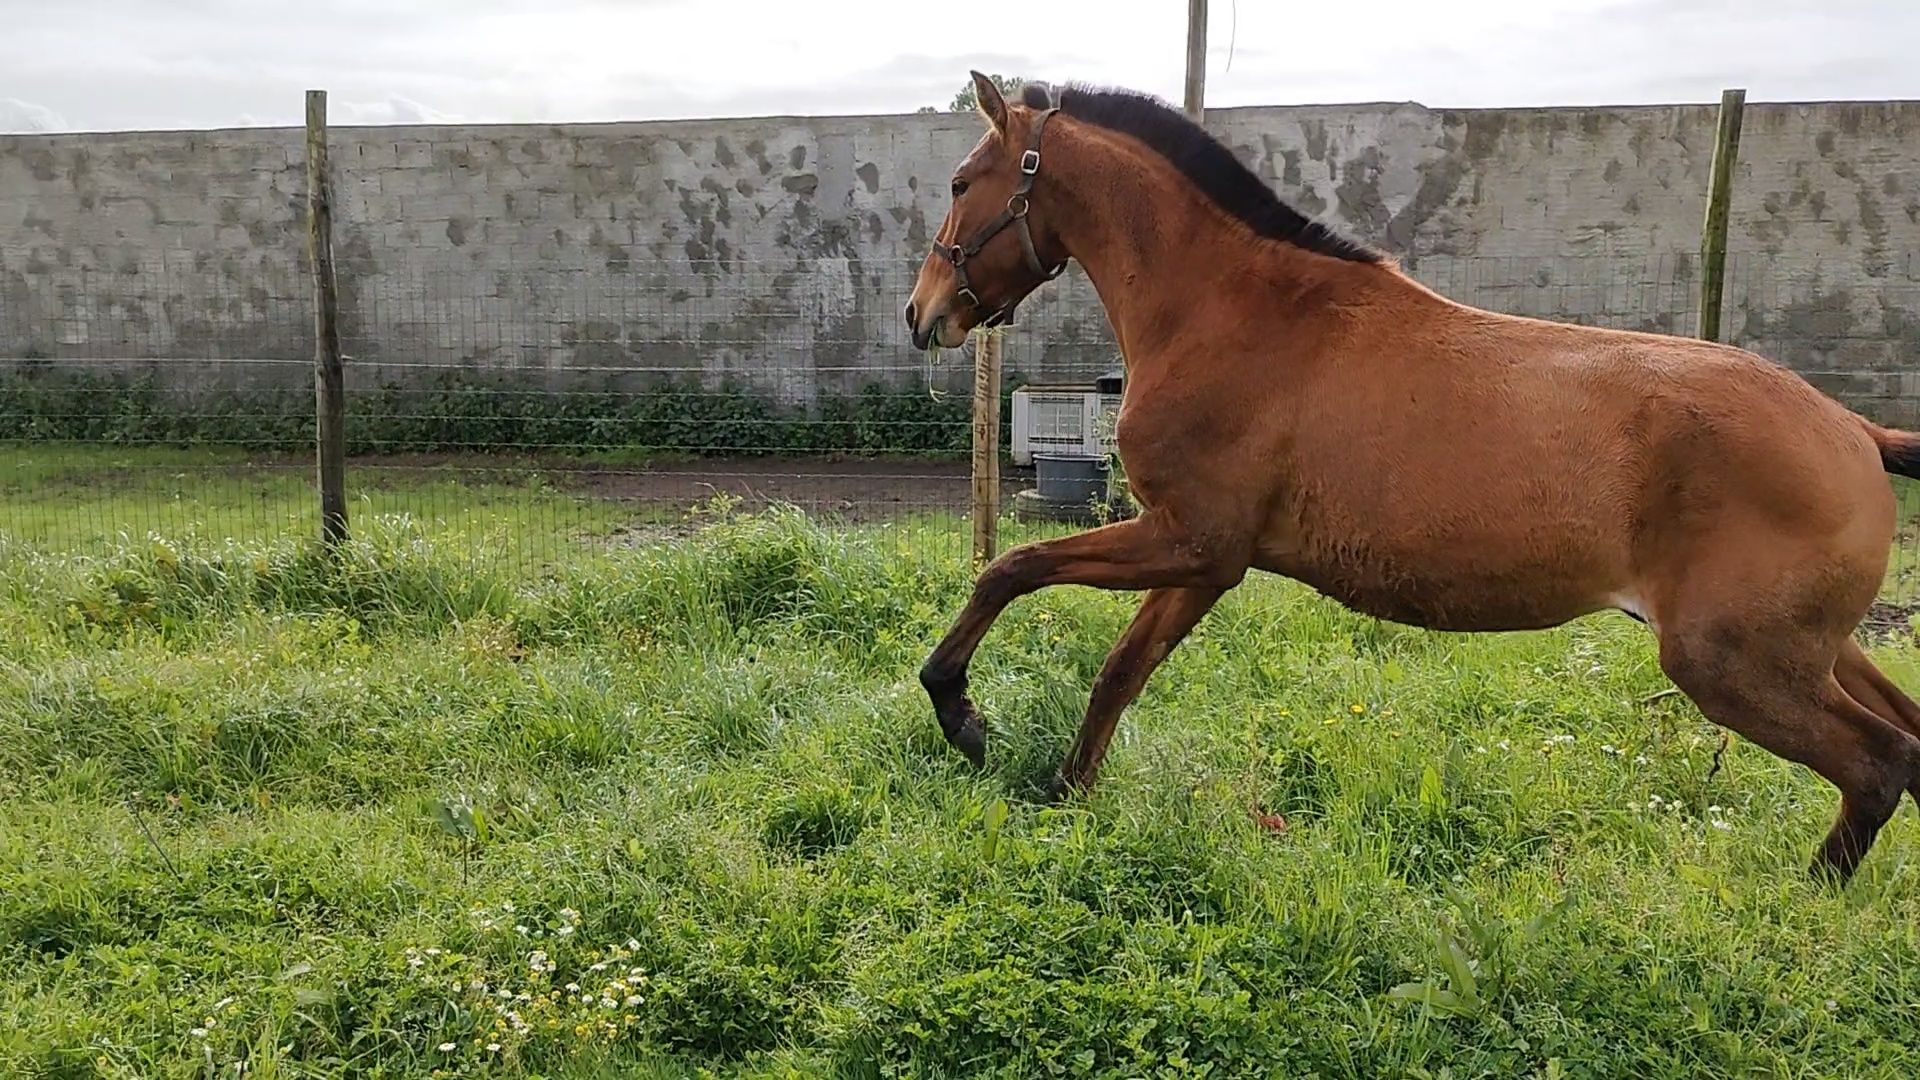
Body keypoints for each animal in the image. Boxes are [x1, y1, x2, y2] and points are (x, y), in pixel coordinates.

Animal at [898, 73, 1920, 883]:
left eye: (960, 183)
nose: (922, 313)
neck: (1233, 314)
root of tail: (1853, 431)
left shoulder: (1186, 540)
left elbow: (1011, 570)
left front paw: (962, 715)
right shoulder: (1205, 562)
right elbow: (1118, 674)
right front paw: (1066, 797)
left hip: (1728, 663)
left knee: (1880, 762)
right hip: (1809, 650)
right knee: (1906, 740)